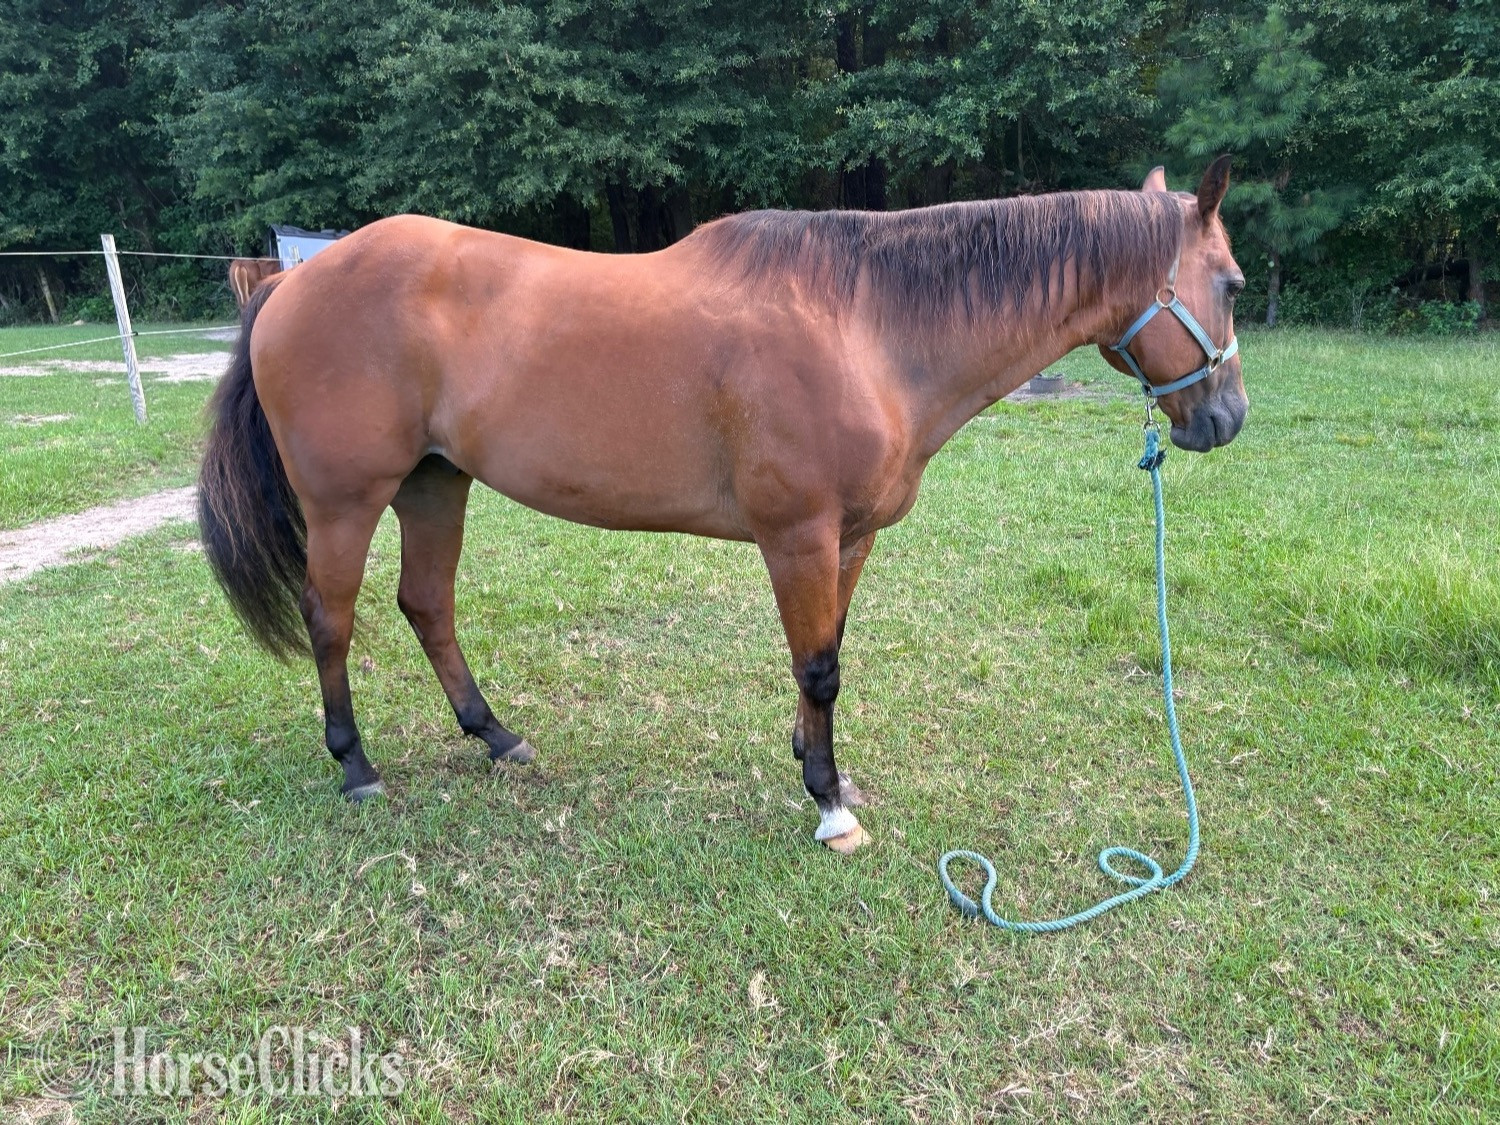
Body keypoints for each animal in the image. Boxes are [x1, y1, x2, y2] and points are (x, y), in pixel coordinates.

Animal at [198, 157, 1247, 855]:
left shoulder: (848, 539)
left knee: (427, 605)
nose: (1227, 418)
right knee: (331, 619)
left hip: (433, 482)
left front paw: (821, 765)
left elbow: (827, 657)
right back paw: (355, 766)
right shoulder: (797, 537)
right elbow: (819, 666)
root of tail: (295, 280)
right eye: (1232, 283)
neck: (865, 327)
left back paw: (495, 736)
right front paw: (828, 804)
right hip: (346, 500)